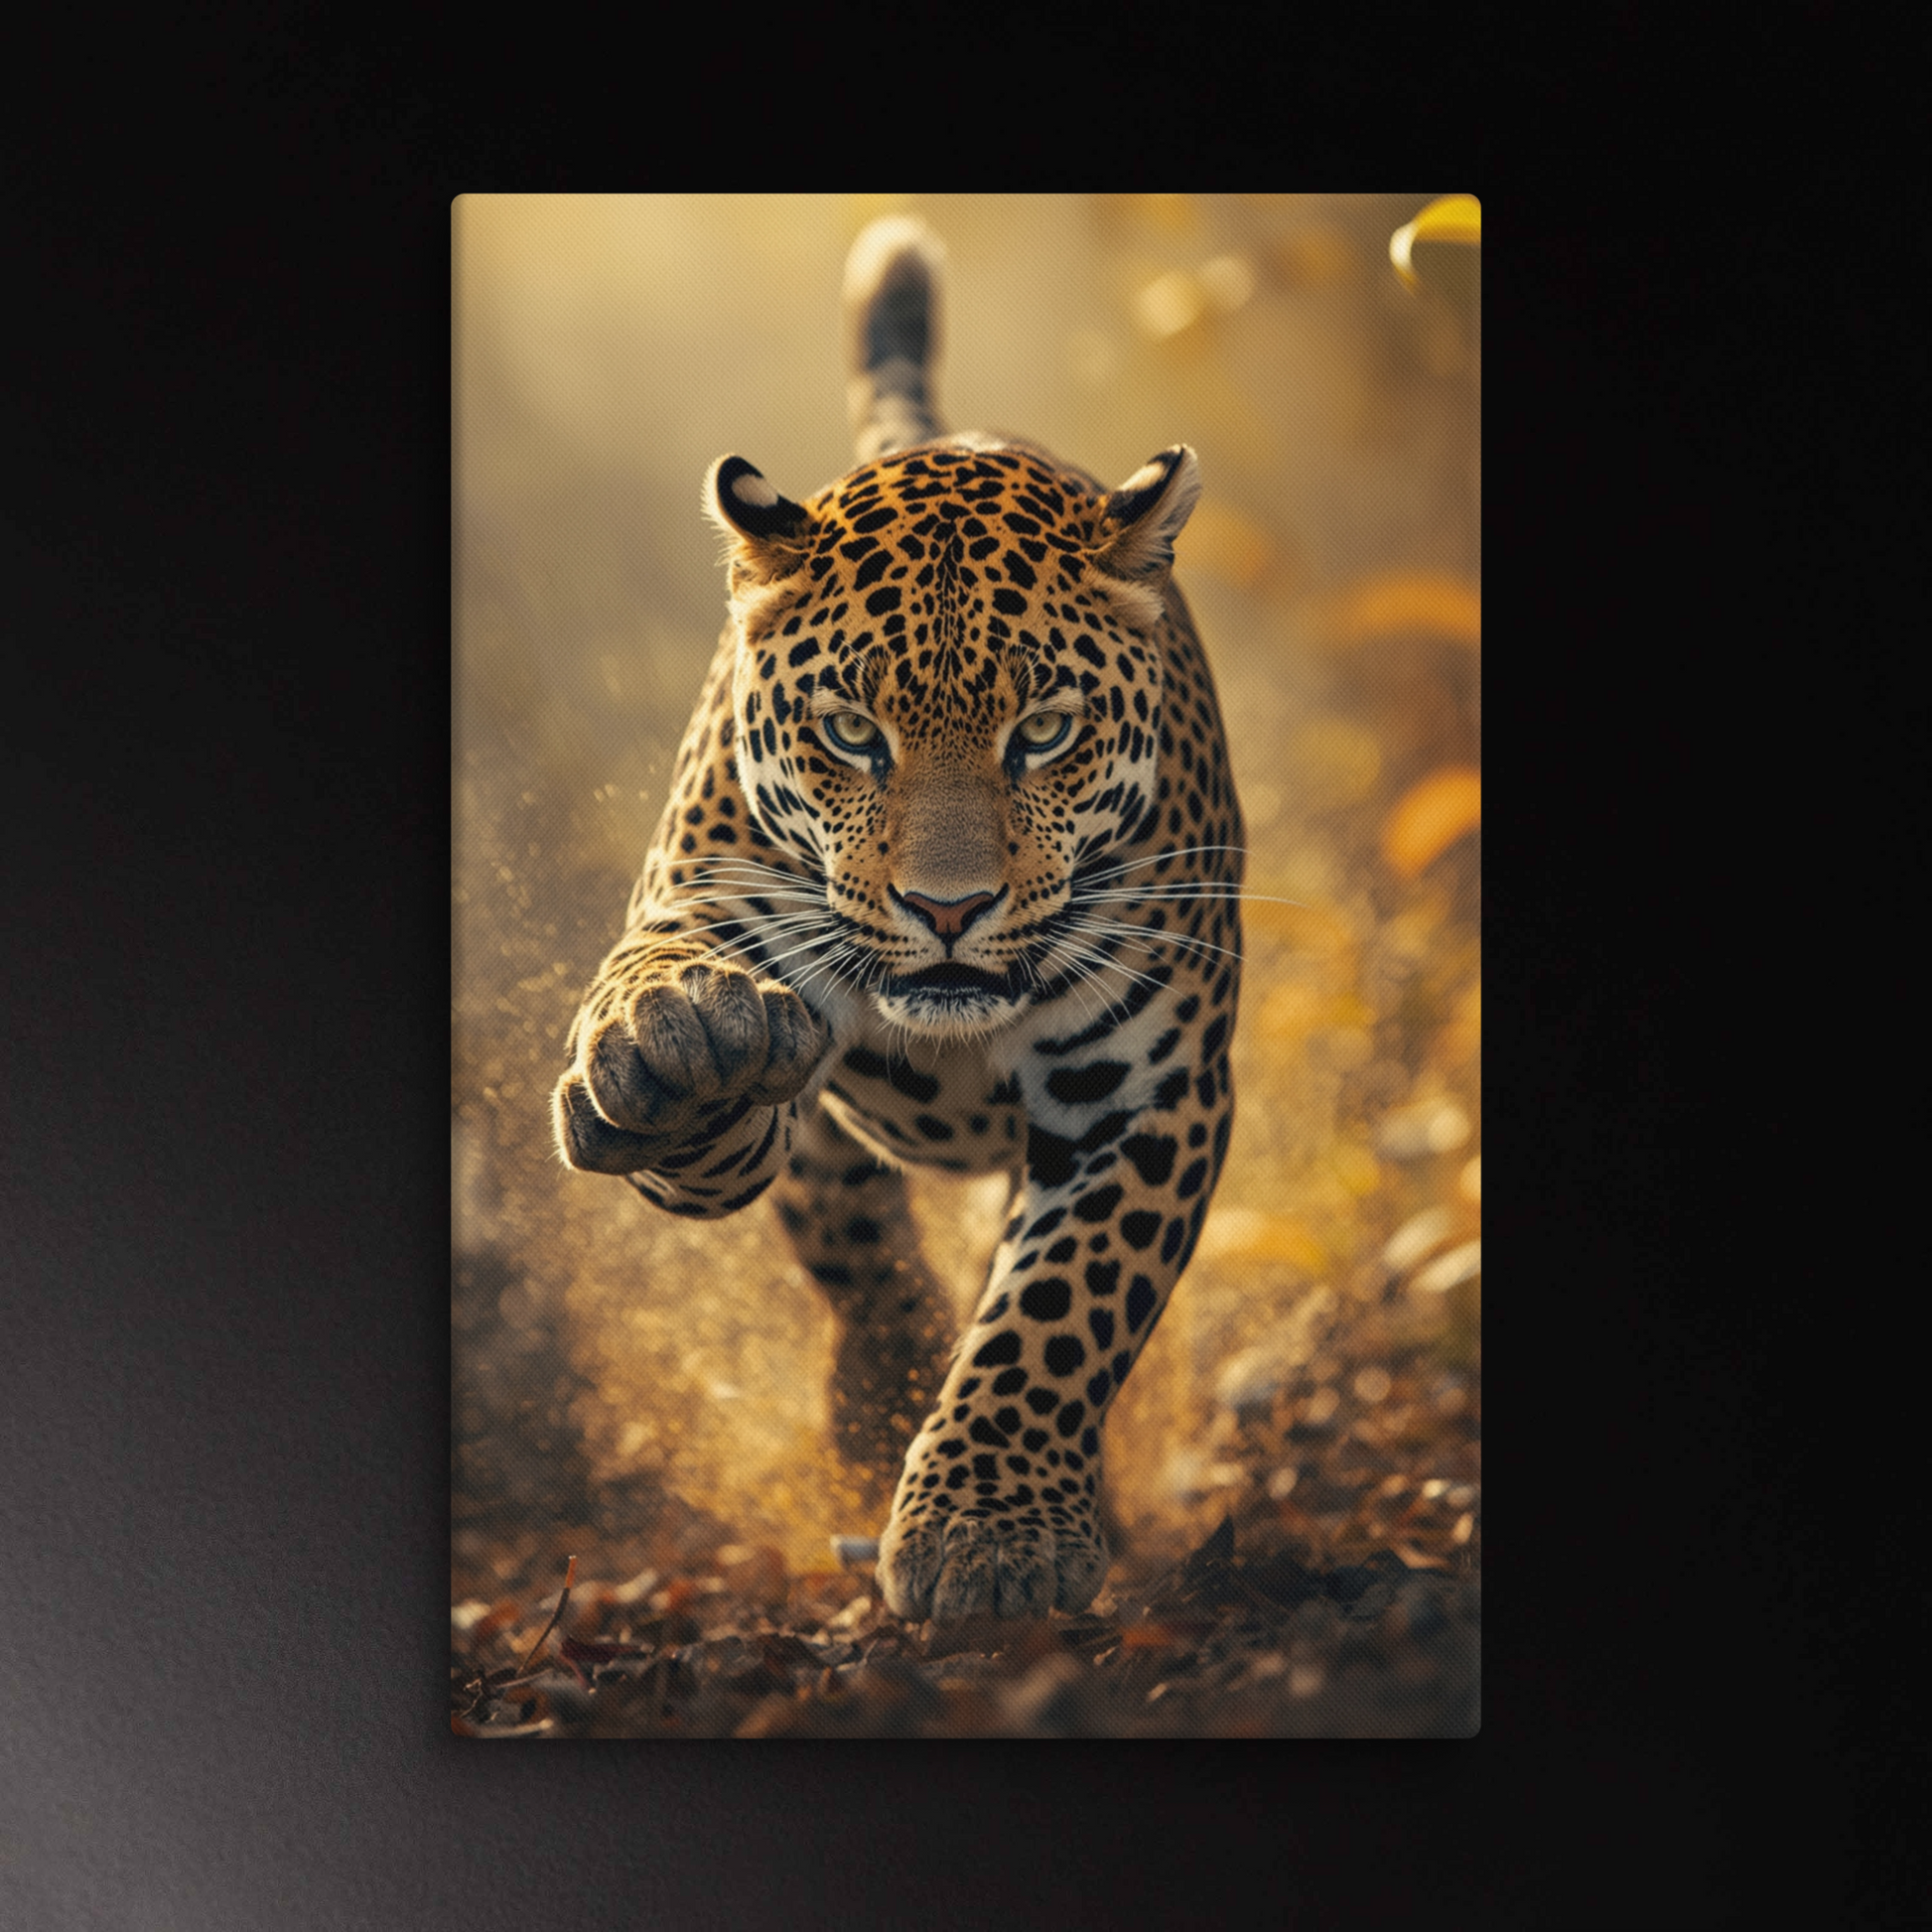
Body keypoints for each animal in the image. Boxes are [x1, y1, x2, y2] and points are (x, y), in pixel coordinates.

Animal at [552, 216, 1243, 1623]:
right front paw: (678, 1050)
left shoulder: (1145, 1093)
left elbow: (1060, 1304)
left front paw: (989, 1529)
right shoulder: (707, 888)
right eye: (850, 732)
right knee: (846, 1223)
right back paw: (877, 1390)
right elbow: (681, 1029)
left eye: (1043, 730)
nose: (946, 907)